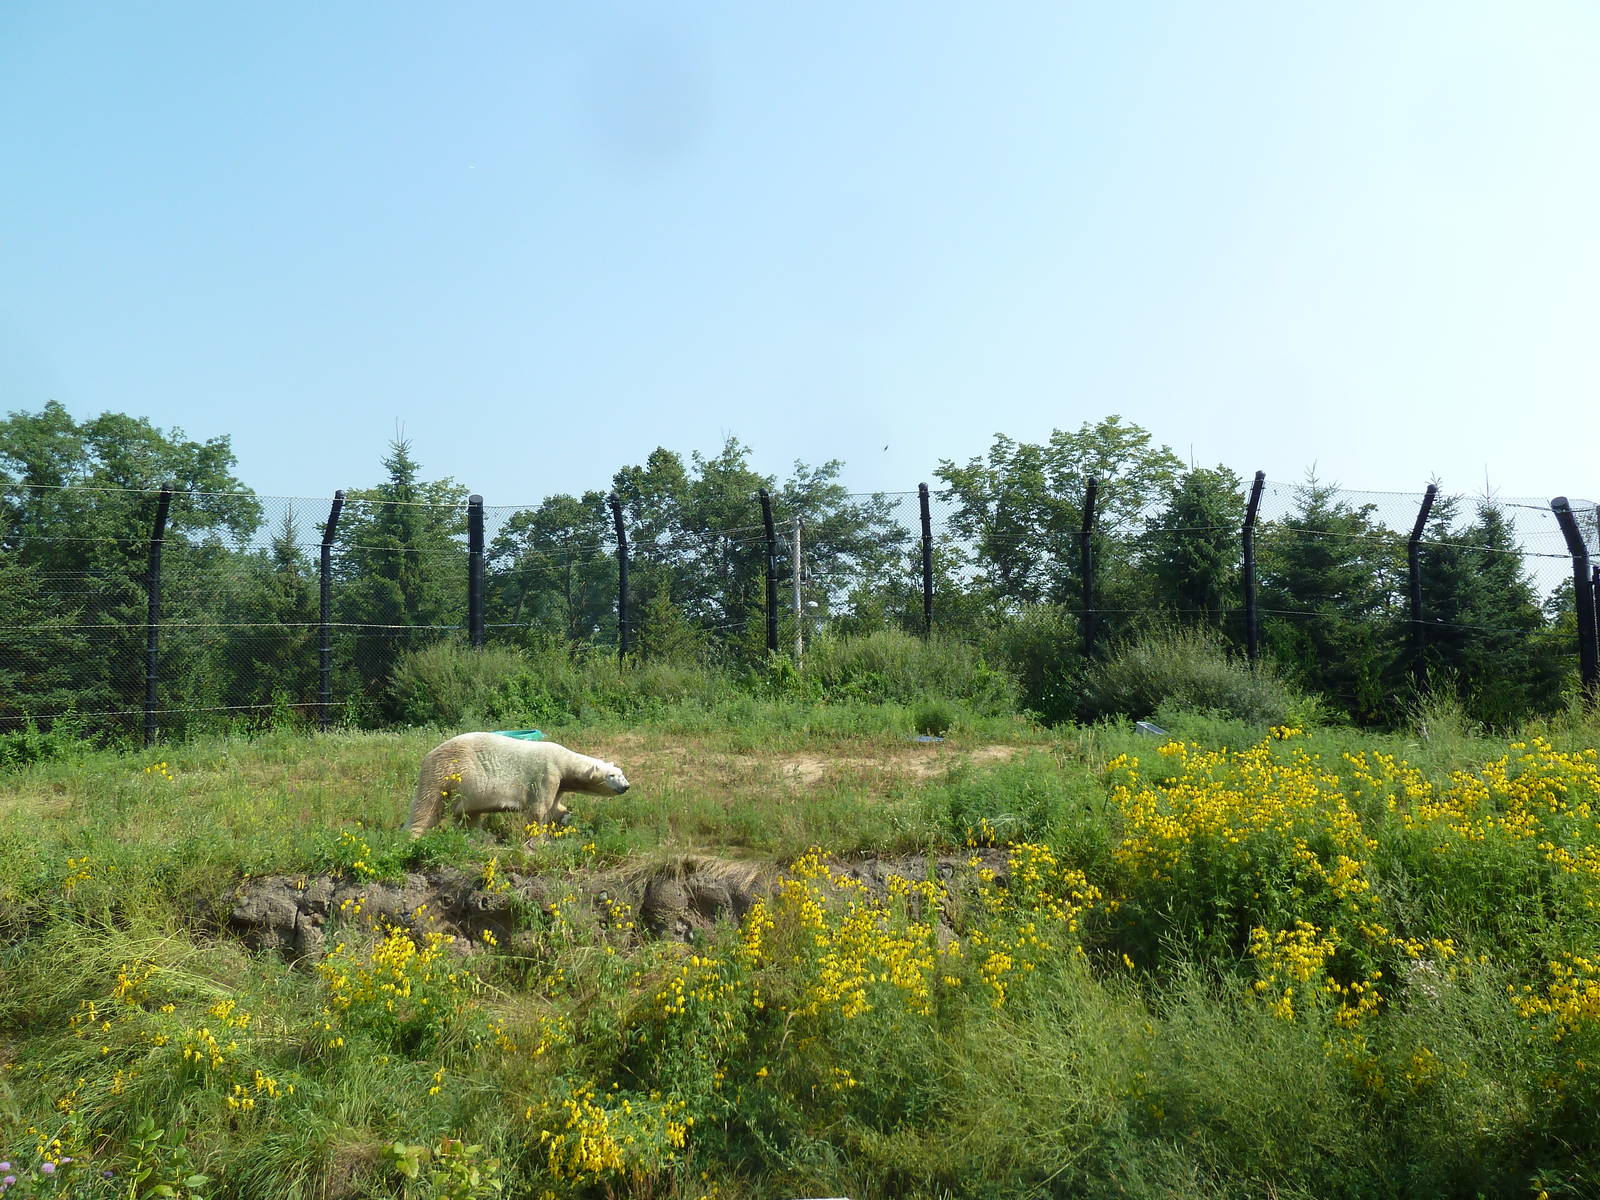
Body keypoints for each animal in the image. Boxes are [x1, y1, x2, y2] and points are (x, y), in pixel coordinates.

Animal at [406, 732, 630, 838]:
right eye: (612, 775)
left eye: (621, 773)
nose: (626, 786)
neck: (563, 760)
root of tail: (429, 754)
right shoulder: (547, 774)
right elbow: (538, 809)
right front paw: (539, 839)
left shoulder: (559, 783)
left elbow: (555, 807)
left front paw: (566, 816)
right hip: (446, 772)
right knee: (428, 806)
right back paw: (414, 836)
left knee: (469, 813)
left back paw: (482, 836)